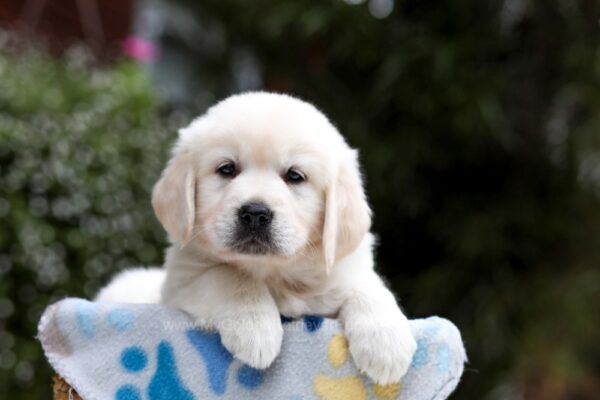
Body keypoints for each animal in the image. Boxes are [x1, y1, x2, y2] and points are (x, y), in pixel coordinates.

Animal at [97, 92, 418, 382]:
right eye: (227, 169)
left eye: (295, 176)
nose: (254, 213)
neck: (274, 272)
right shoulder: (180, 285)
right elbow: (228, 276)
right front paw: (255, 329)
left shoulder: (343, 270)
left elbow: (370, 287)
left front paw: (387, 346)